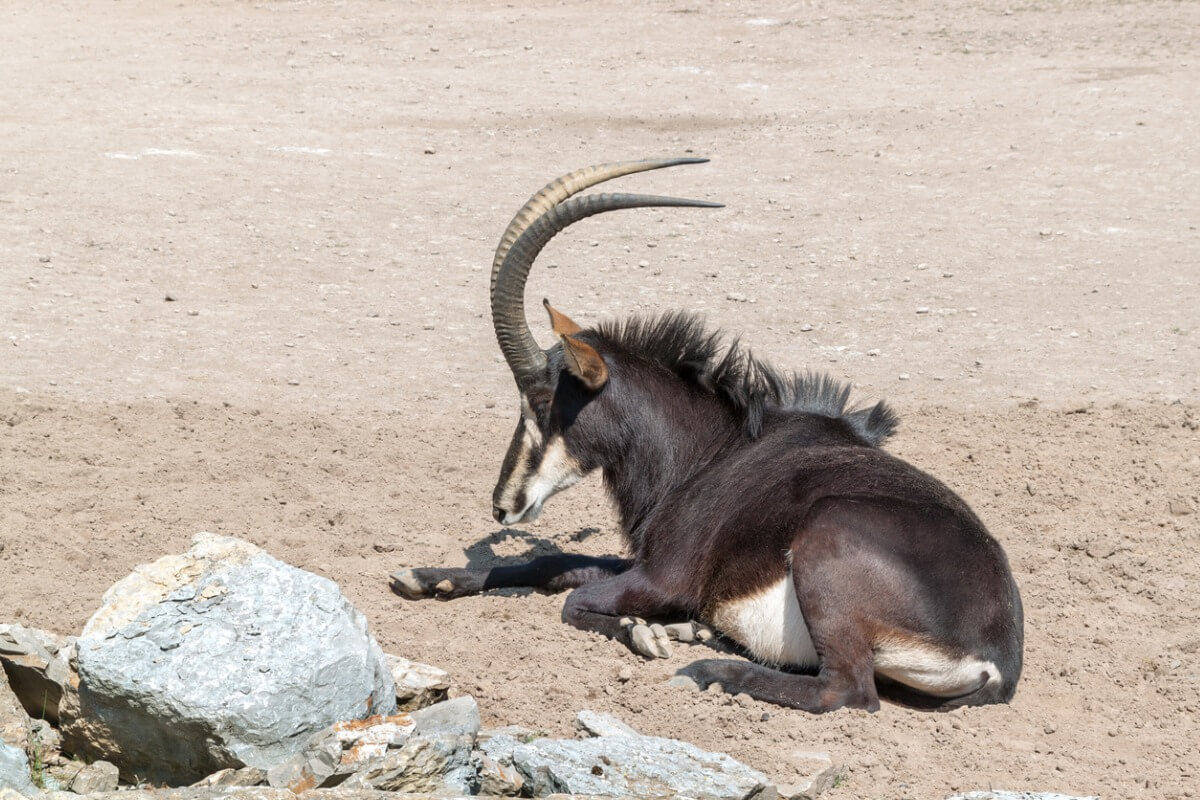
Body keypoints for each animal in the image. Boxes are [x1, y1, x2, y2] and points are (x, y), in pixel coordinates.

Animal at [391, 158, 1024, 713]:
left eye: (542, 400)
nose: (503, 505)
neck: (709, 451)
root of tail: (997, 660)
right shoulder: (640, 563)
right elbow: (561, 561)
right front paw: (425, 577)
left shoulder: (665, 577)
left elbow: (573, 599)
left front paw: (646, 633)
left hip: (830, 539)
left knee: (846, 690)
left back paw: (705, 669)